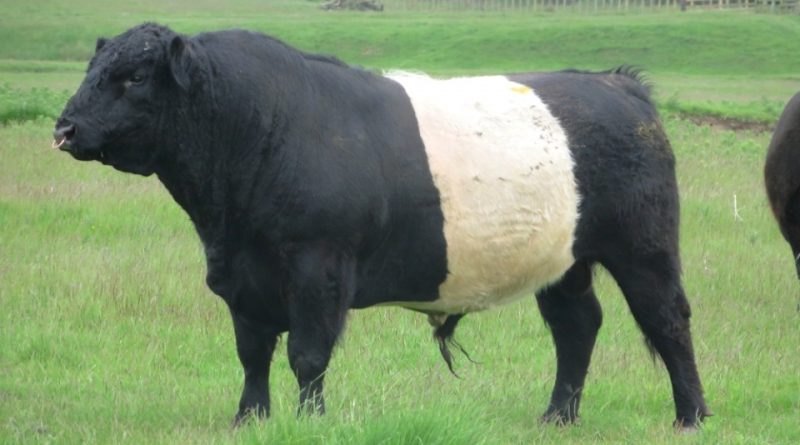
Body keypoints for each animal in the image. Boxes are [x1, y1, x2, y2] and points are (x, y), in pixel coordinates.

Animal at [53, 23, 708, 426]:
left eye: (135, 77)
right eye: (93, 69)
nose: (65, 128)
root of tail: (617, 82)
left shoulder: (317, 266)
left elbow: (307, 354)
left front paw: (307, 422)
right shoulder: (240, 275)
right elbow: (252, 353)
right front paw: (249, 419)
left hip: (644, 248)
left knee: (668, 320)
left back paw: (691, 415)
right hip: (562, 260)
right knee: (577, 326)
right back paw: (557, 417)